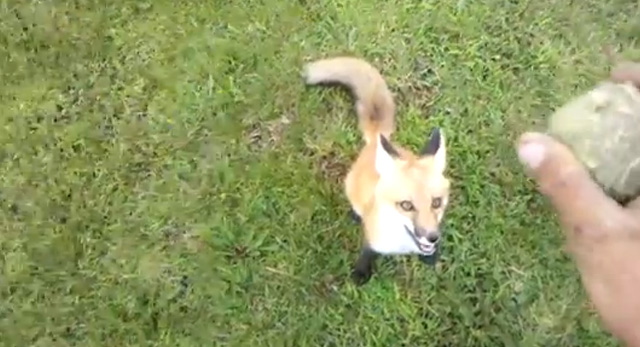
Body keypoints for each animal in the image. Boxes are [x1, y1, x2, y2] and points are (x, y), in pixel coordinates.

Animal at [302, 56, 452, 286]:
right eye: (406, 205)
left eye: (436, 202)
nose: (432, 237)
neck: (403, 245)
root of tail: (377, 138)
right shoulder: (374, 239)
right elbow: (368, 253)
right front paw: (361, 273)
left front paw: (431, 256)